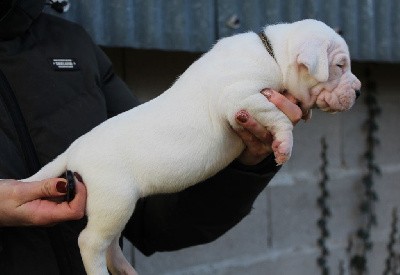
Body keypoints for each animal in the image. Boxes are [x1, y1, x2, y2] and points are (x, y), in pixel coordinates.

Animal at [20, 20, 360, 275]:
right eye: (339, 65)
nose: (357, 90)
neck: (273, 51)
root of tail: (75, 150)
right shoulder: (241, 98)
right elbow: (280, 118)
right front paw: (283, 146)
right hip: (114, 199)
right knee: (89, 242)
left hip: (113, 205)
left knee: (110, 244)